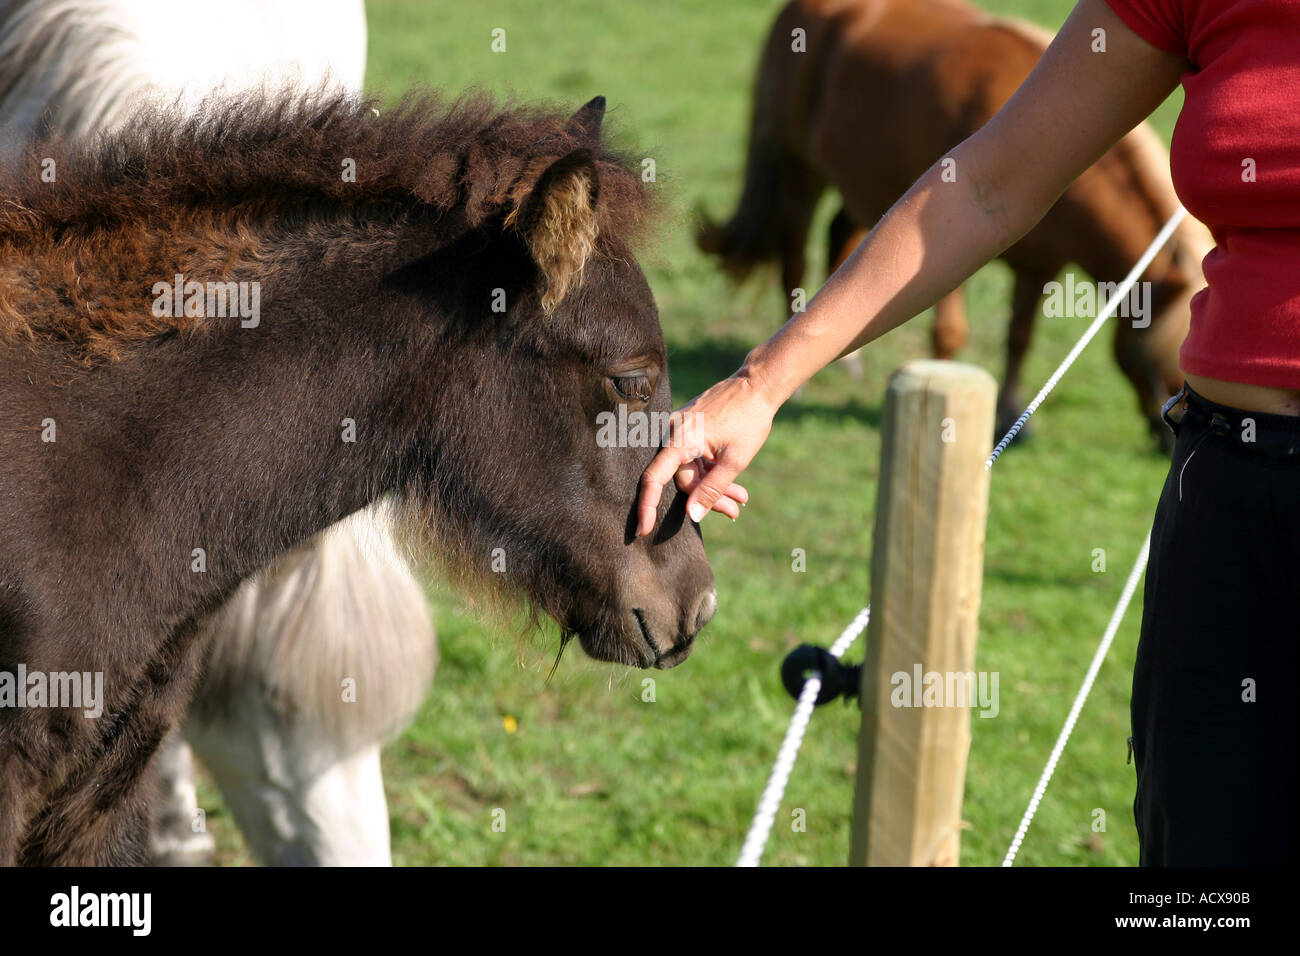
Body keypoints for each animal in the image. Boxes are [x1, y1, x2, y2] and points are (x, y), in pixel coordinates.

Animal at [696, 0, 1211, 442]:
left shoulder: (1038, 262)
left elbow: (1019, 337)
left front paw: (1012, 412)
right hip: (797, 167)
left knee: (840, 236)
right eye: (1160, 356)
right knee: (795, 256)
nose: (1165, 439)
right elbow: (949, 333)